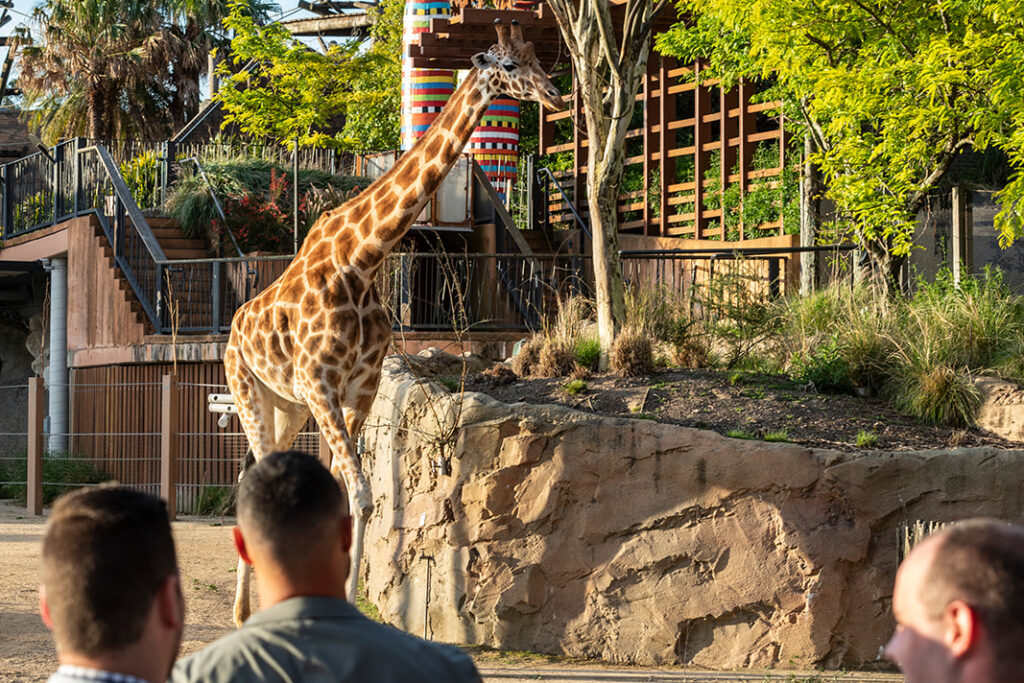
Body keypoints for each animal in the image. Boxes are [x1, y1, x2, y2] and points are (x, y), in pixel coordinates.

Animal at [224, 18, 565, 626]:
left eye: (536, 57)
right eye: (507, 64)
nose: (554, 94)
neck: (363, 257)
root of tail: (234, 328)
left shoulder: (359, 388)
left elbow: (352, 498)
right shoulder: (321, 383)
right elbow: (357, 494)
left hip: (285, 404)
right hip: (249, 392)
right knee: (252, 479)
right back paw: (244, 615)